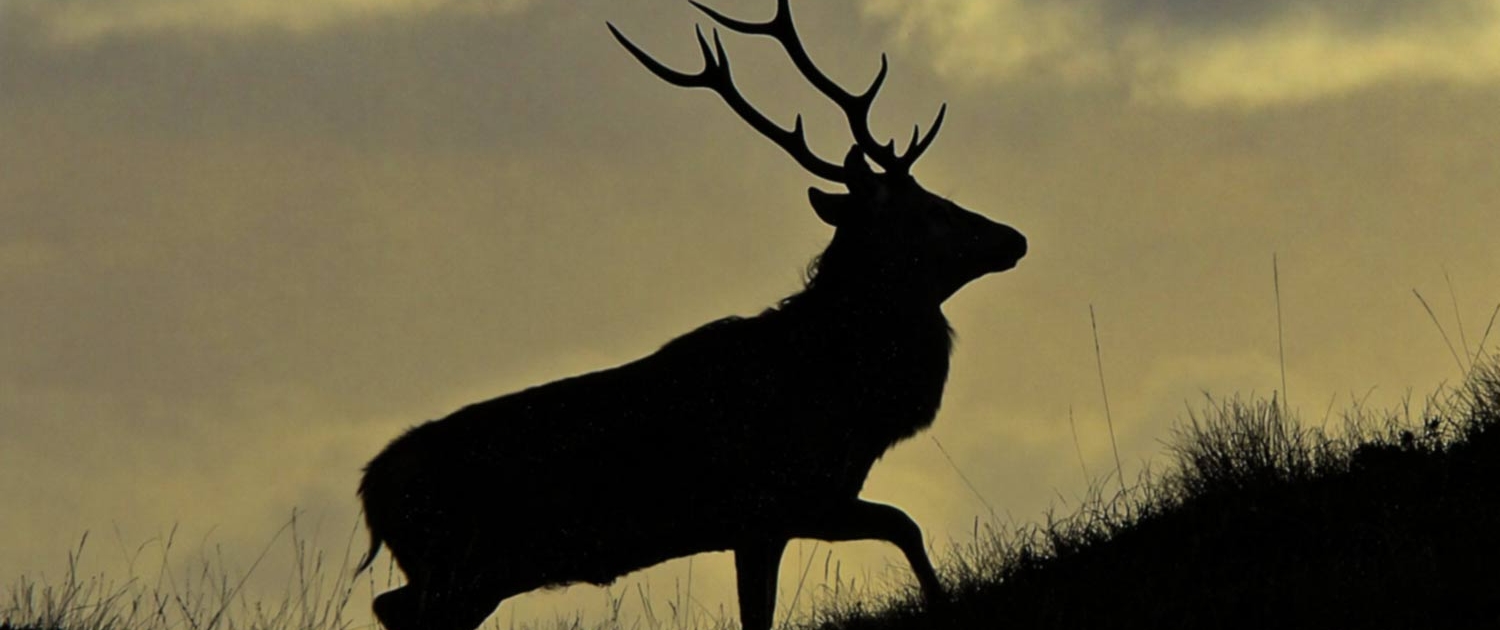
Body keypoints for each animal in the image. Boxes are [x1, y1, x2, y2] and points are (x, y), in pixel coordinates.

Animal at [355, 2, 1027, 630]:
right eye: (933, 207)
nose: (1013, 237)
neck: (849, 403)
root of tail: (370, 489)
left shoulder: (799, 508)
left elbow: (889, 531)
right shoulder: (774, 503)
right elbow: (900, 528)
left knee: (389, 603)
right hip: (461, 564)